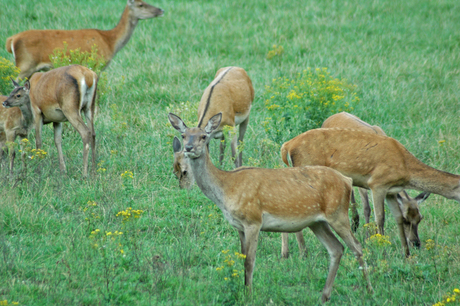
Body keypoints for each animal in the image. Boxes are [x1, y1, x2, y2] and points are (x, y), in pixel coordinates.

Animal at [5, 0, 164, 80]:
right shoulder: (97, 64)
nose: (161, 10)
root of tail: (11, 39)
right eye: (141, 4)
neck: (111, 42)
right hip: (24, 65)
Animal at [169, 111, 374, 302]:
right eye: (184, 135)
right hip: (317, 222)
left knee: (357, 247)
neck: (226, 188)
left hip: (338, 213)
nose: (189, 148)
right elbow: (242, 258)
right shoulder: (238, 226)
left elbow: (250, 261)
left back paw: (369, 291)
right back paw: (324, 296)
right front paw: (244, 291)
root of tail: (346, 181)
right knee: (336, 249)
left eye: (203, 136)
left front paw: (249, 295)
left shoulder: (253, 220)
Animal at [280, 123, 460, 256]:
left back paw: (286, 254)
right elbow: (380, 218)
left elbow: (396, 218)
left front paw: (406, 254)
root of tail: (287, 145)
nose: (416, 244)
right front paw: (383, 251)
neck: (405, 168)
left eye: (420, 218)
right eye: (409, 220)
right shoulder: (377, 183)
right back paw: (303, 253)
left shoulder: (391, 191)